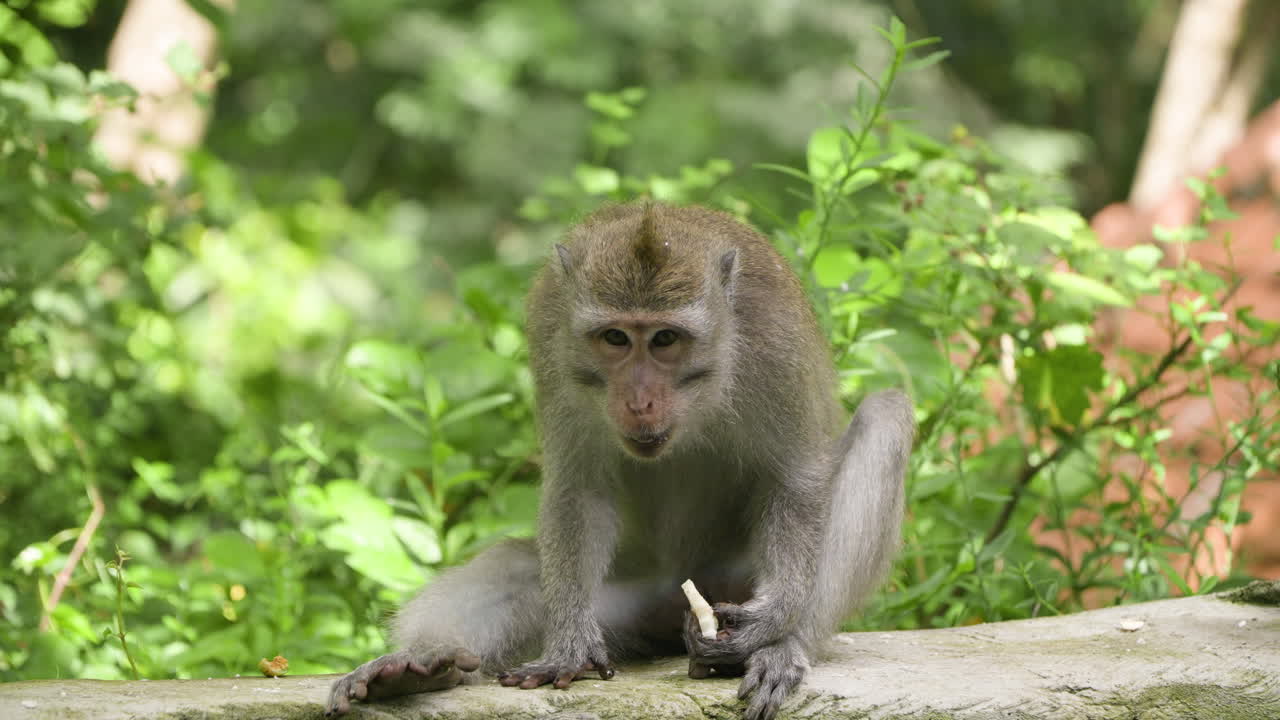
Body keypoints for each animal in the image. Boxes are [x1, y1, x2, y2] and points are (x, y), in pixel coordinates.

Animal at [325, 202, 913, 720]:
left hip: (732, 581)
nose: (639, 400)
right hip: (630, 602)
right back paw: (418, 666)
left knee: (886, 415)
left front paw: (774, 623)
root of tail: (674, 595)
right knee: (516, 566)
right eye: (615, 338)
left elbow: (795, 477)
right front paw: (567, 645)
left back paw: (784, 647)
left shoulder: (775, 342)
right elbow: (577, 486)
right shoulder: (553, 341)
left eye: (665, 339)